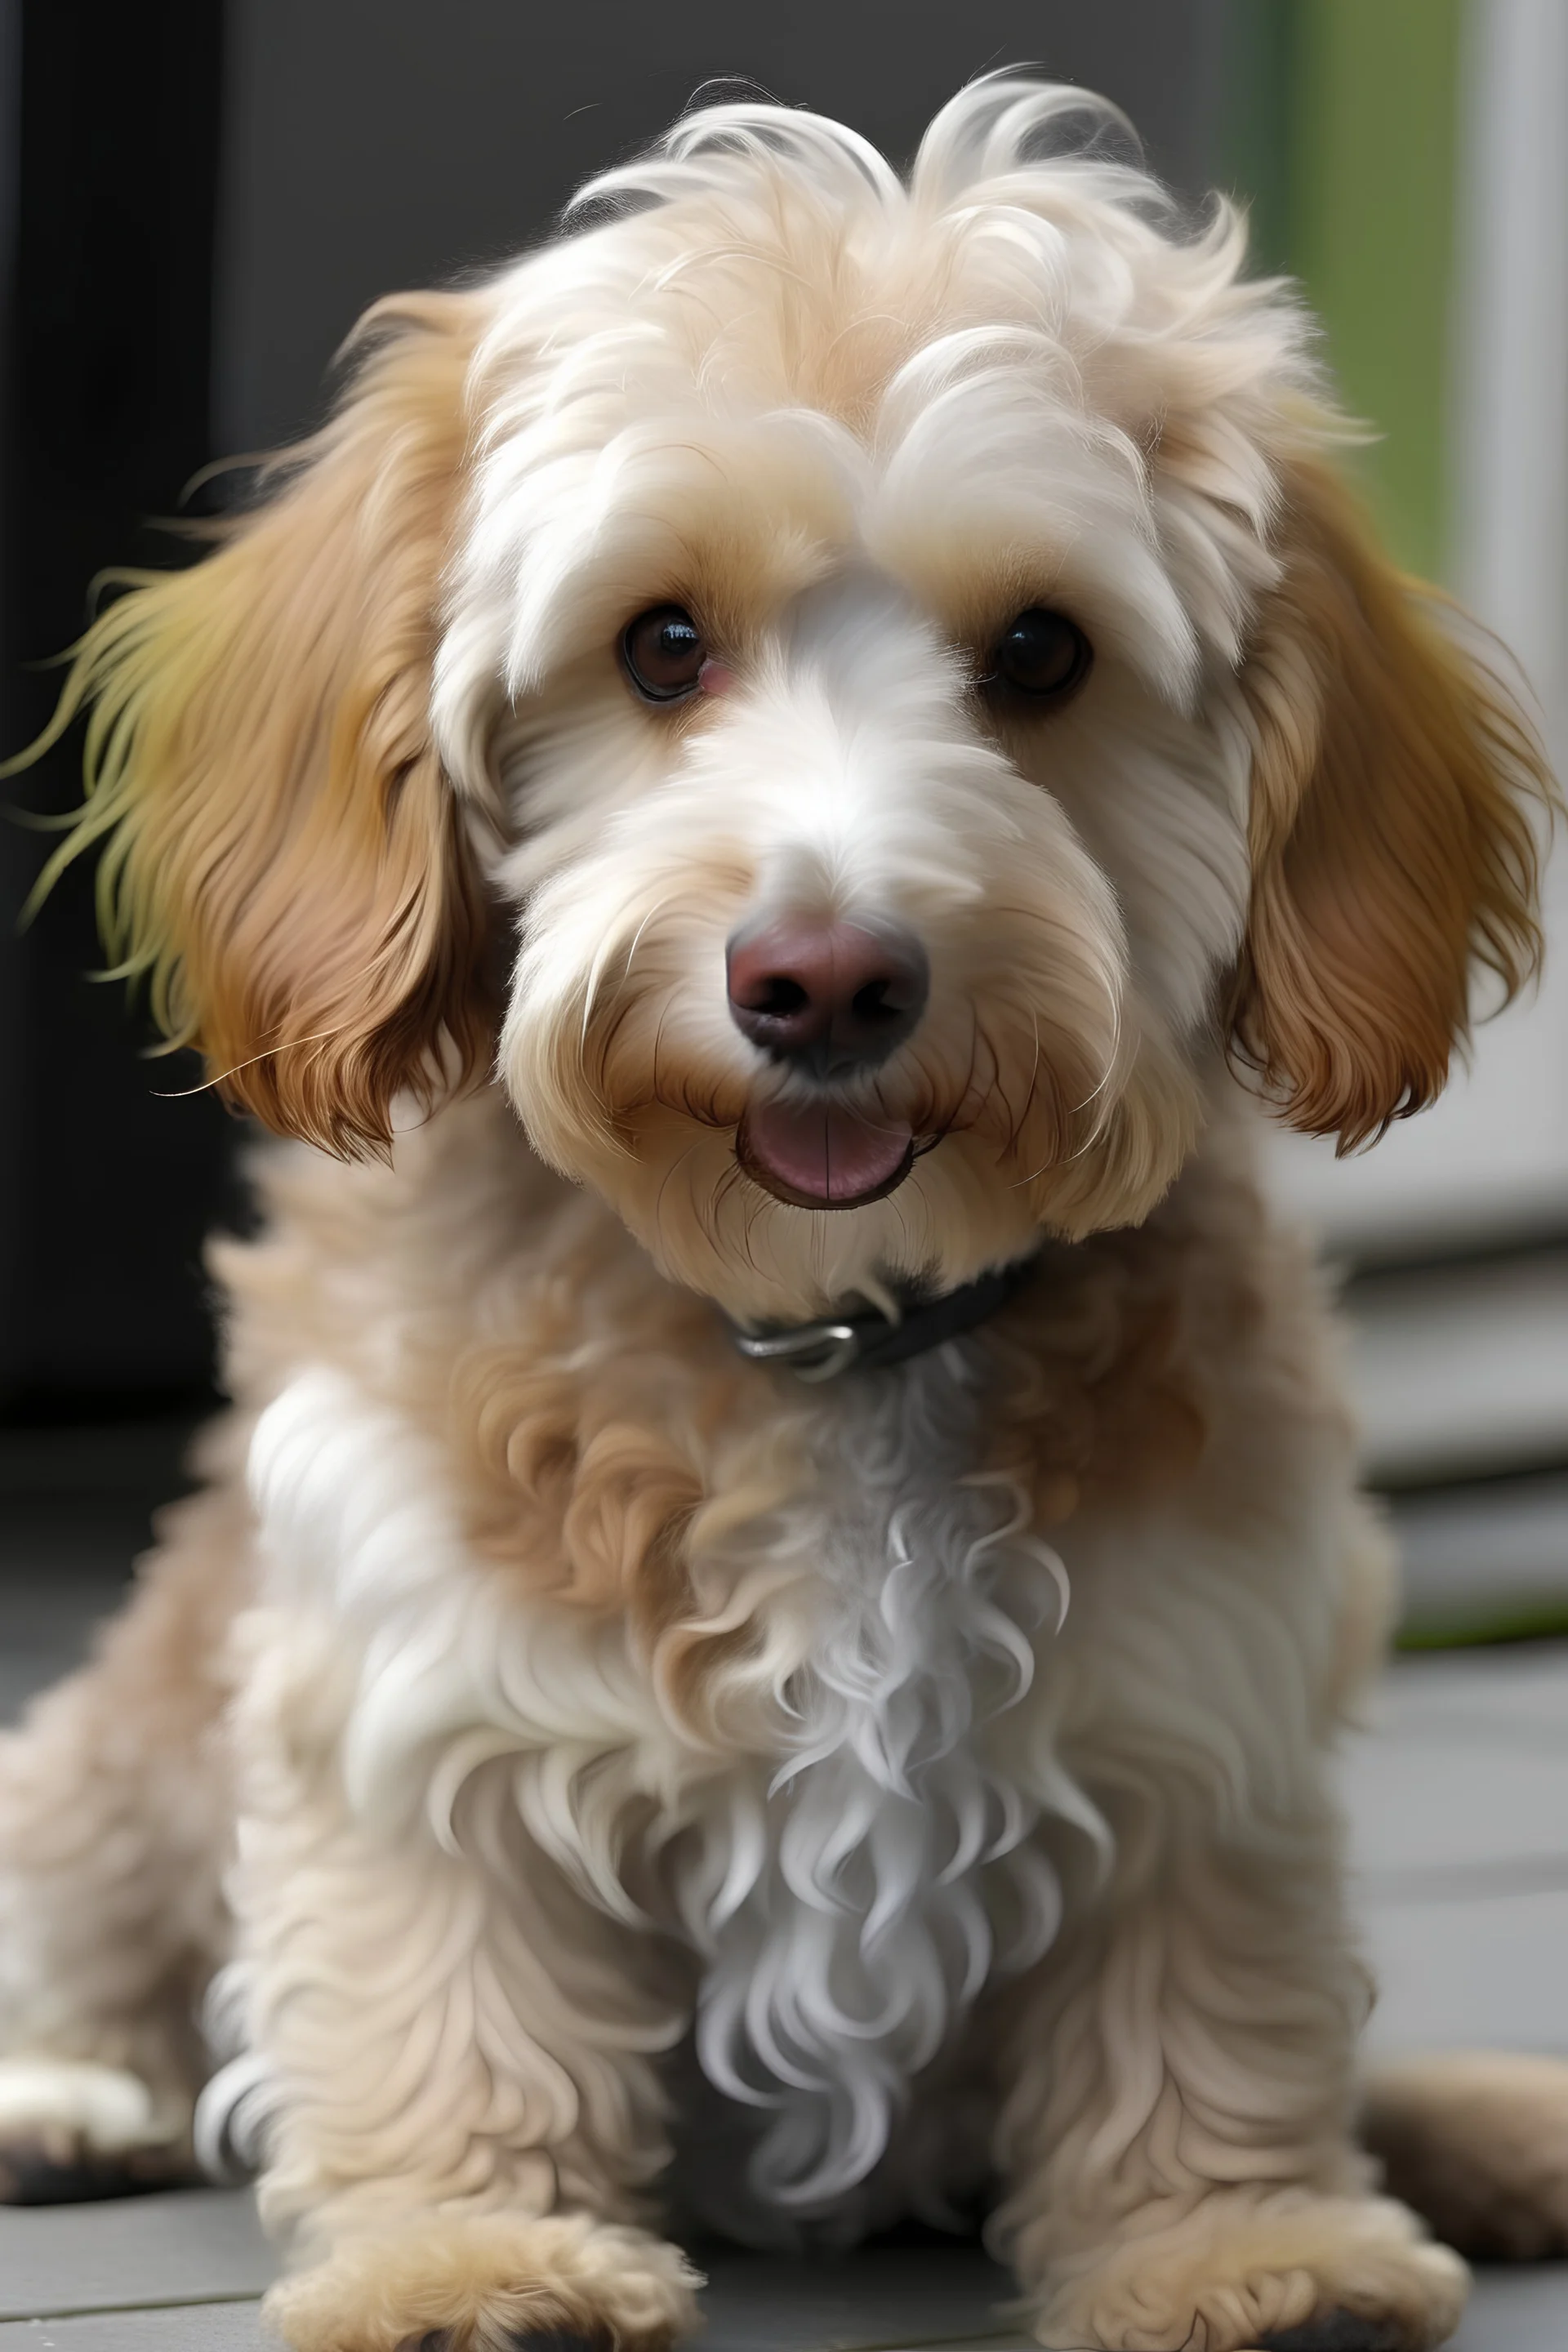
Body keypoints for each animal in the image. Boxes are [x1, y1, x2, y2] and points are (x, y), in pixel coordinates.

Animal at [2, 74, 1568, 2352]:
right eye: (660, 643)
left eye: (1041, 653)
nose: (824, 979)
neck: (836, 1327)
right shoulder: (419, 1683)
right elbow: (450, 1999)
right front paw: (474, 2251)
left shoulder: (1205, 1708)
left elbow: (1208, 2003)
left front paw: (1242, 2243)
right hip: (120, 1758)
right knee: (74, 1902)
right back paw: (63, 2094)